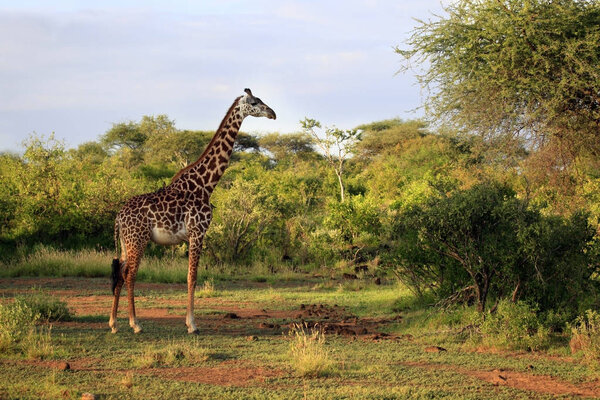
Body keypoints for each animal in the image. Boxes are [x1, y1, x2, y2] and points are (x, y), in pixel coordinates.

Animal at [109, 89, 276, 332]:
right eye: (255, 102)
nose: (273, 113)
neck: (205, 184)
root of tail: (119, 217)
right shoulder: (198, 232)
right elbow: (192, 277)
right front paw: (192, 325)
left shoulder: (192, 236)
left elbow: (190, 276)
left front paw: (189, 322)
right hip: (137, 240)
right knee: (130, 275)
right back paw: (135, 324)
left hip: (126, 242)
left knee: (120, 274)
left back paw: (113, 323)